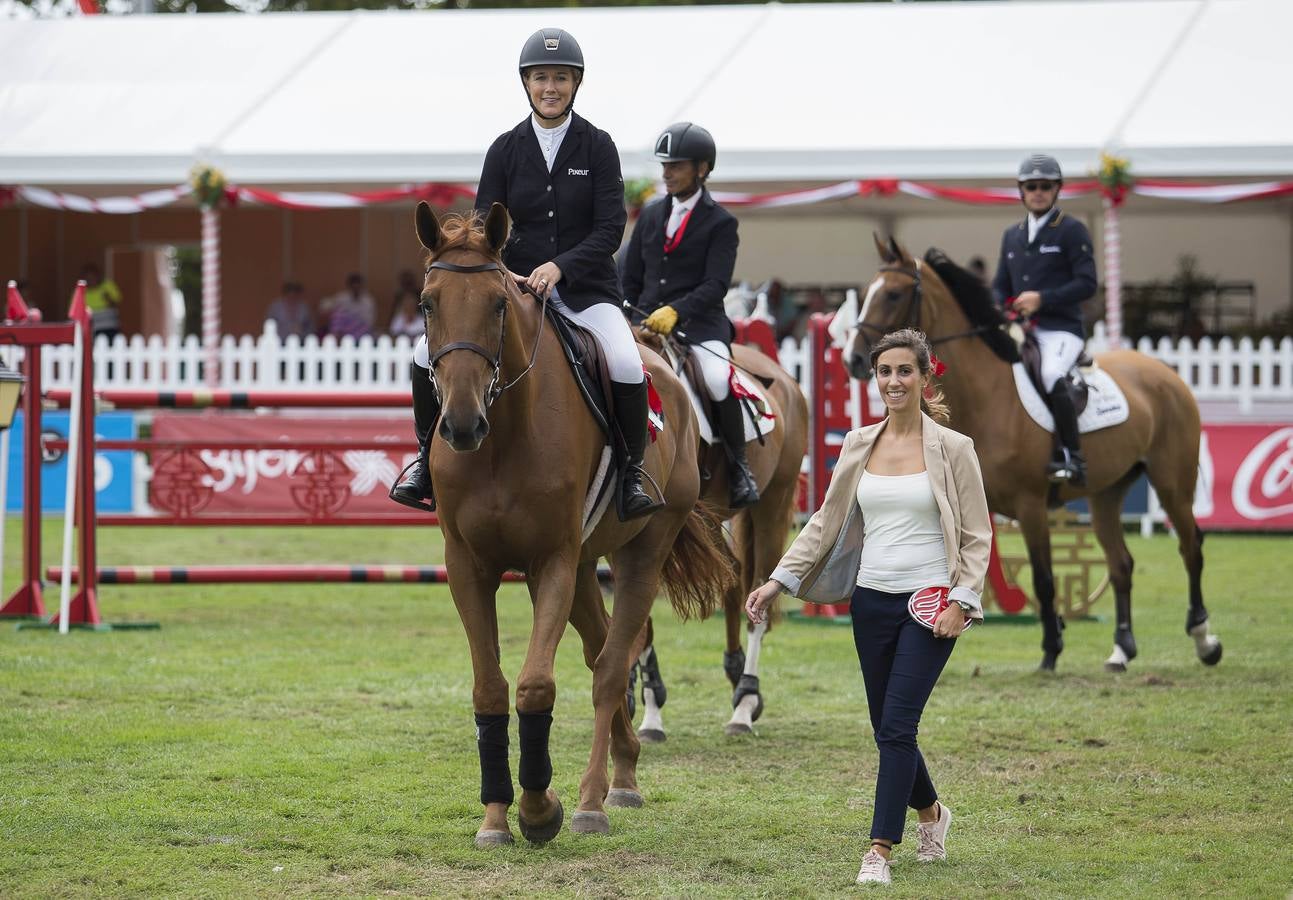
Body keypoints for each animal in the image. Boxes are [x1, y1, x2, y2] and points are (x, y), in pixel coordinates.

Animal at [416, 201, 739, 843]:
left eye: (497, 304)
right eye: (428, 302)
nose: (461, 425)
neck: (502, 436)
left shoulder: (552, 561)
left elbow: (536, 682)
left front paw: (541, 809)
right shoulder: (468, 565)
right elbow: (489, 687)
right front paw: (495, 817)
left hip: (640, 552)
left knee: (613, 663)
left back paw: (596, 798)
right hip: (590, 563)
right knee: (601, 647)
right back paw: (625, 767)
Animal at [628, 336, 801, 739]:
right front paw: (647, 707)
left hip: (773, 505)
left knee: (758, 592)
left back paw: (745, 702)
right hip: (713, 522)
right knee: (735, 578)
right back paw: (736, 674)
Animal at [848, 235, 1220, 672]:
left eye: (892, 293)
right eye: (866, 292)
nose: (856, 359)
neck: (987, 393)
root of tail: (1168, 374)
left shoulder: (1030, 505)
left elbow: (1043, 580)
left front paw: (1051, 649)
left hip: (1171, 482)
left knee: (1191, 548)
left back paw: (1204, 639)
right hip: (1106, 493)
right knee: (1122, 563)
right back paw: (1121, 649)